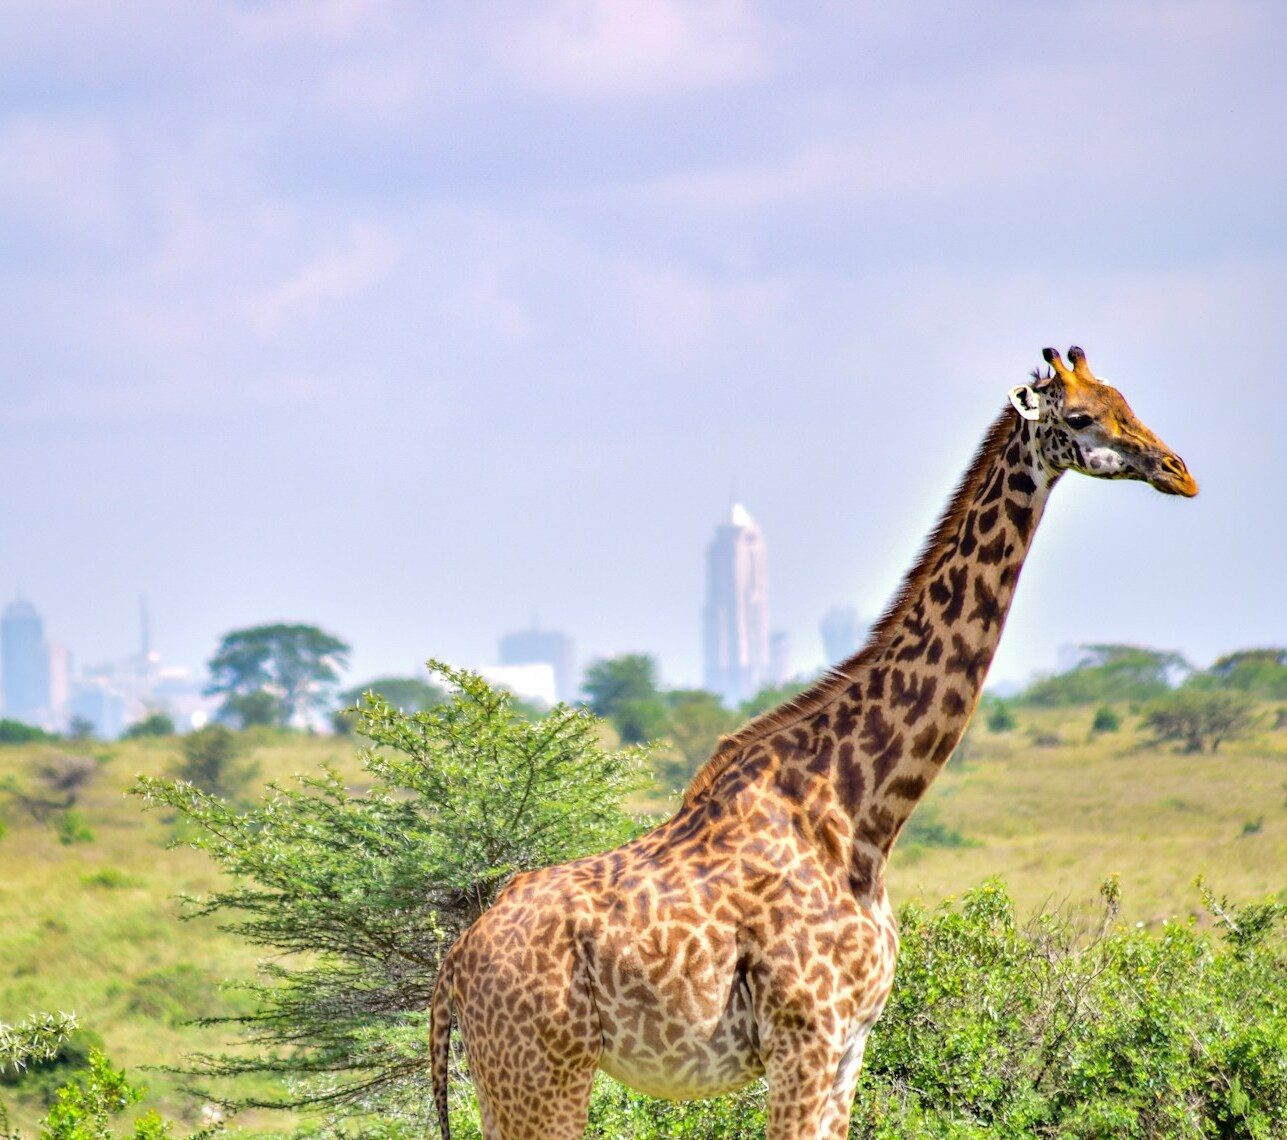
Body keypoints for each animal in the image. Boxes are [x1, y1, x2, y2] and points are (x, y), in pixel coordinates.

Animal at [430, 346, 1197, 1139]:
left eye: (1125, 401)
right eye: (1079, 417)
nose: (1178, 471)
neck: (864, 813)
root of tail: (452, 968)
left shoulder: (851, 1043)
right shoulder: (807, 1034)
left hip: (512, 1081)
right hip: (543, 1073)